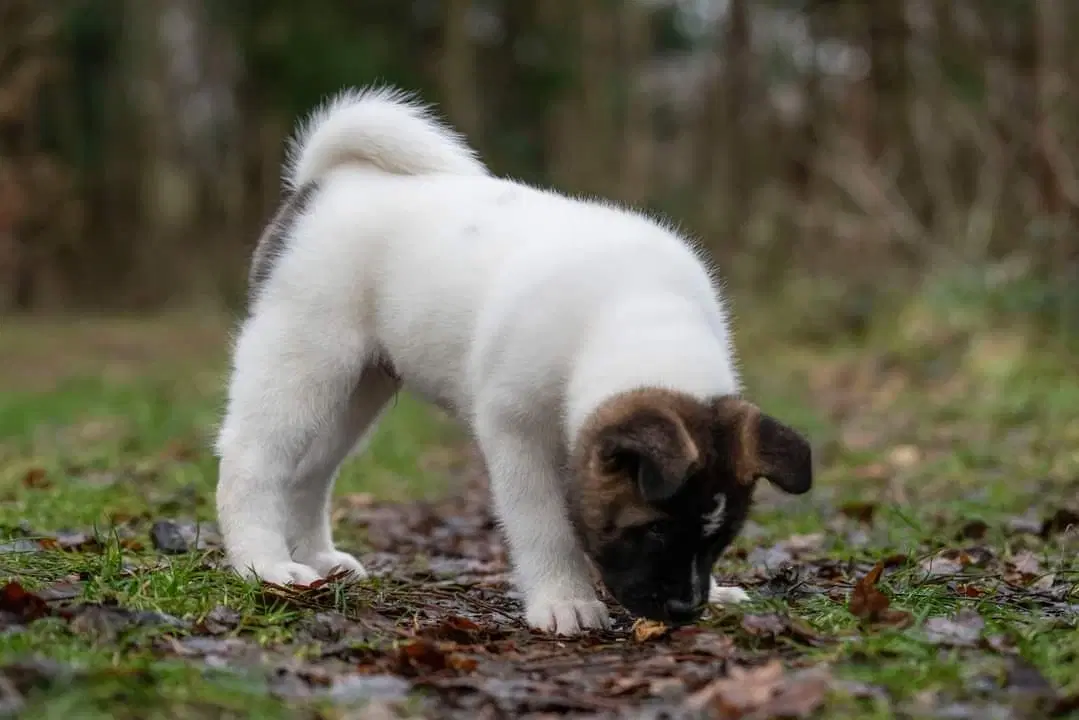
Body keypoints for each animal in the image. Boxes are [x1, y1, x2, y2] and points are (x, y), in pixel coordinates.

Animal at [214, 85, 811, 634]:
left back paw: (317, 559)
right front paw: (565, 600)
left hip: (359, 390)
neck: (639, 309)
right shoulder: (517, 431)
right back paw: (264, 566)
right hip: (301, 358)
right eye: (655, 530)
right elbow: (543, 524)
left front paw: (719, 589)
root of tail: (324, 184)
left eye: (721, 538)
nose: (687, 610)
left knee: (309, 472)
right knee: (252, 460)